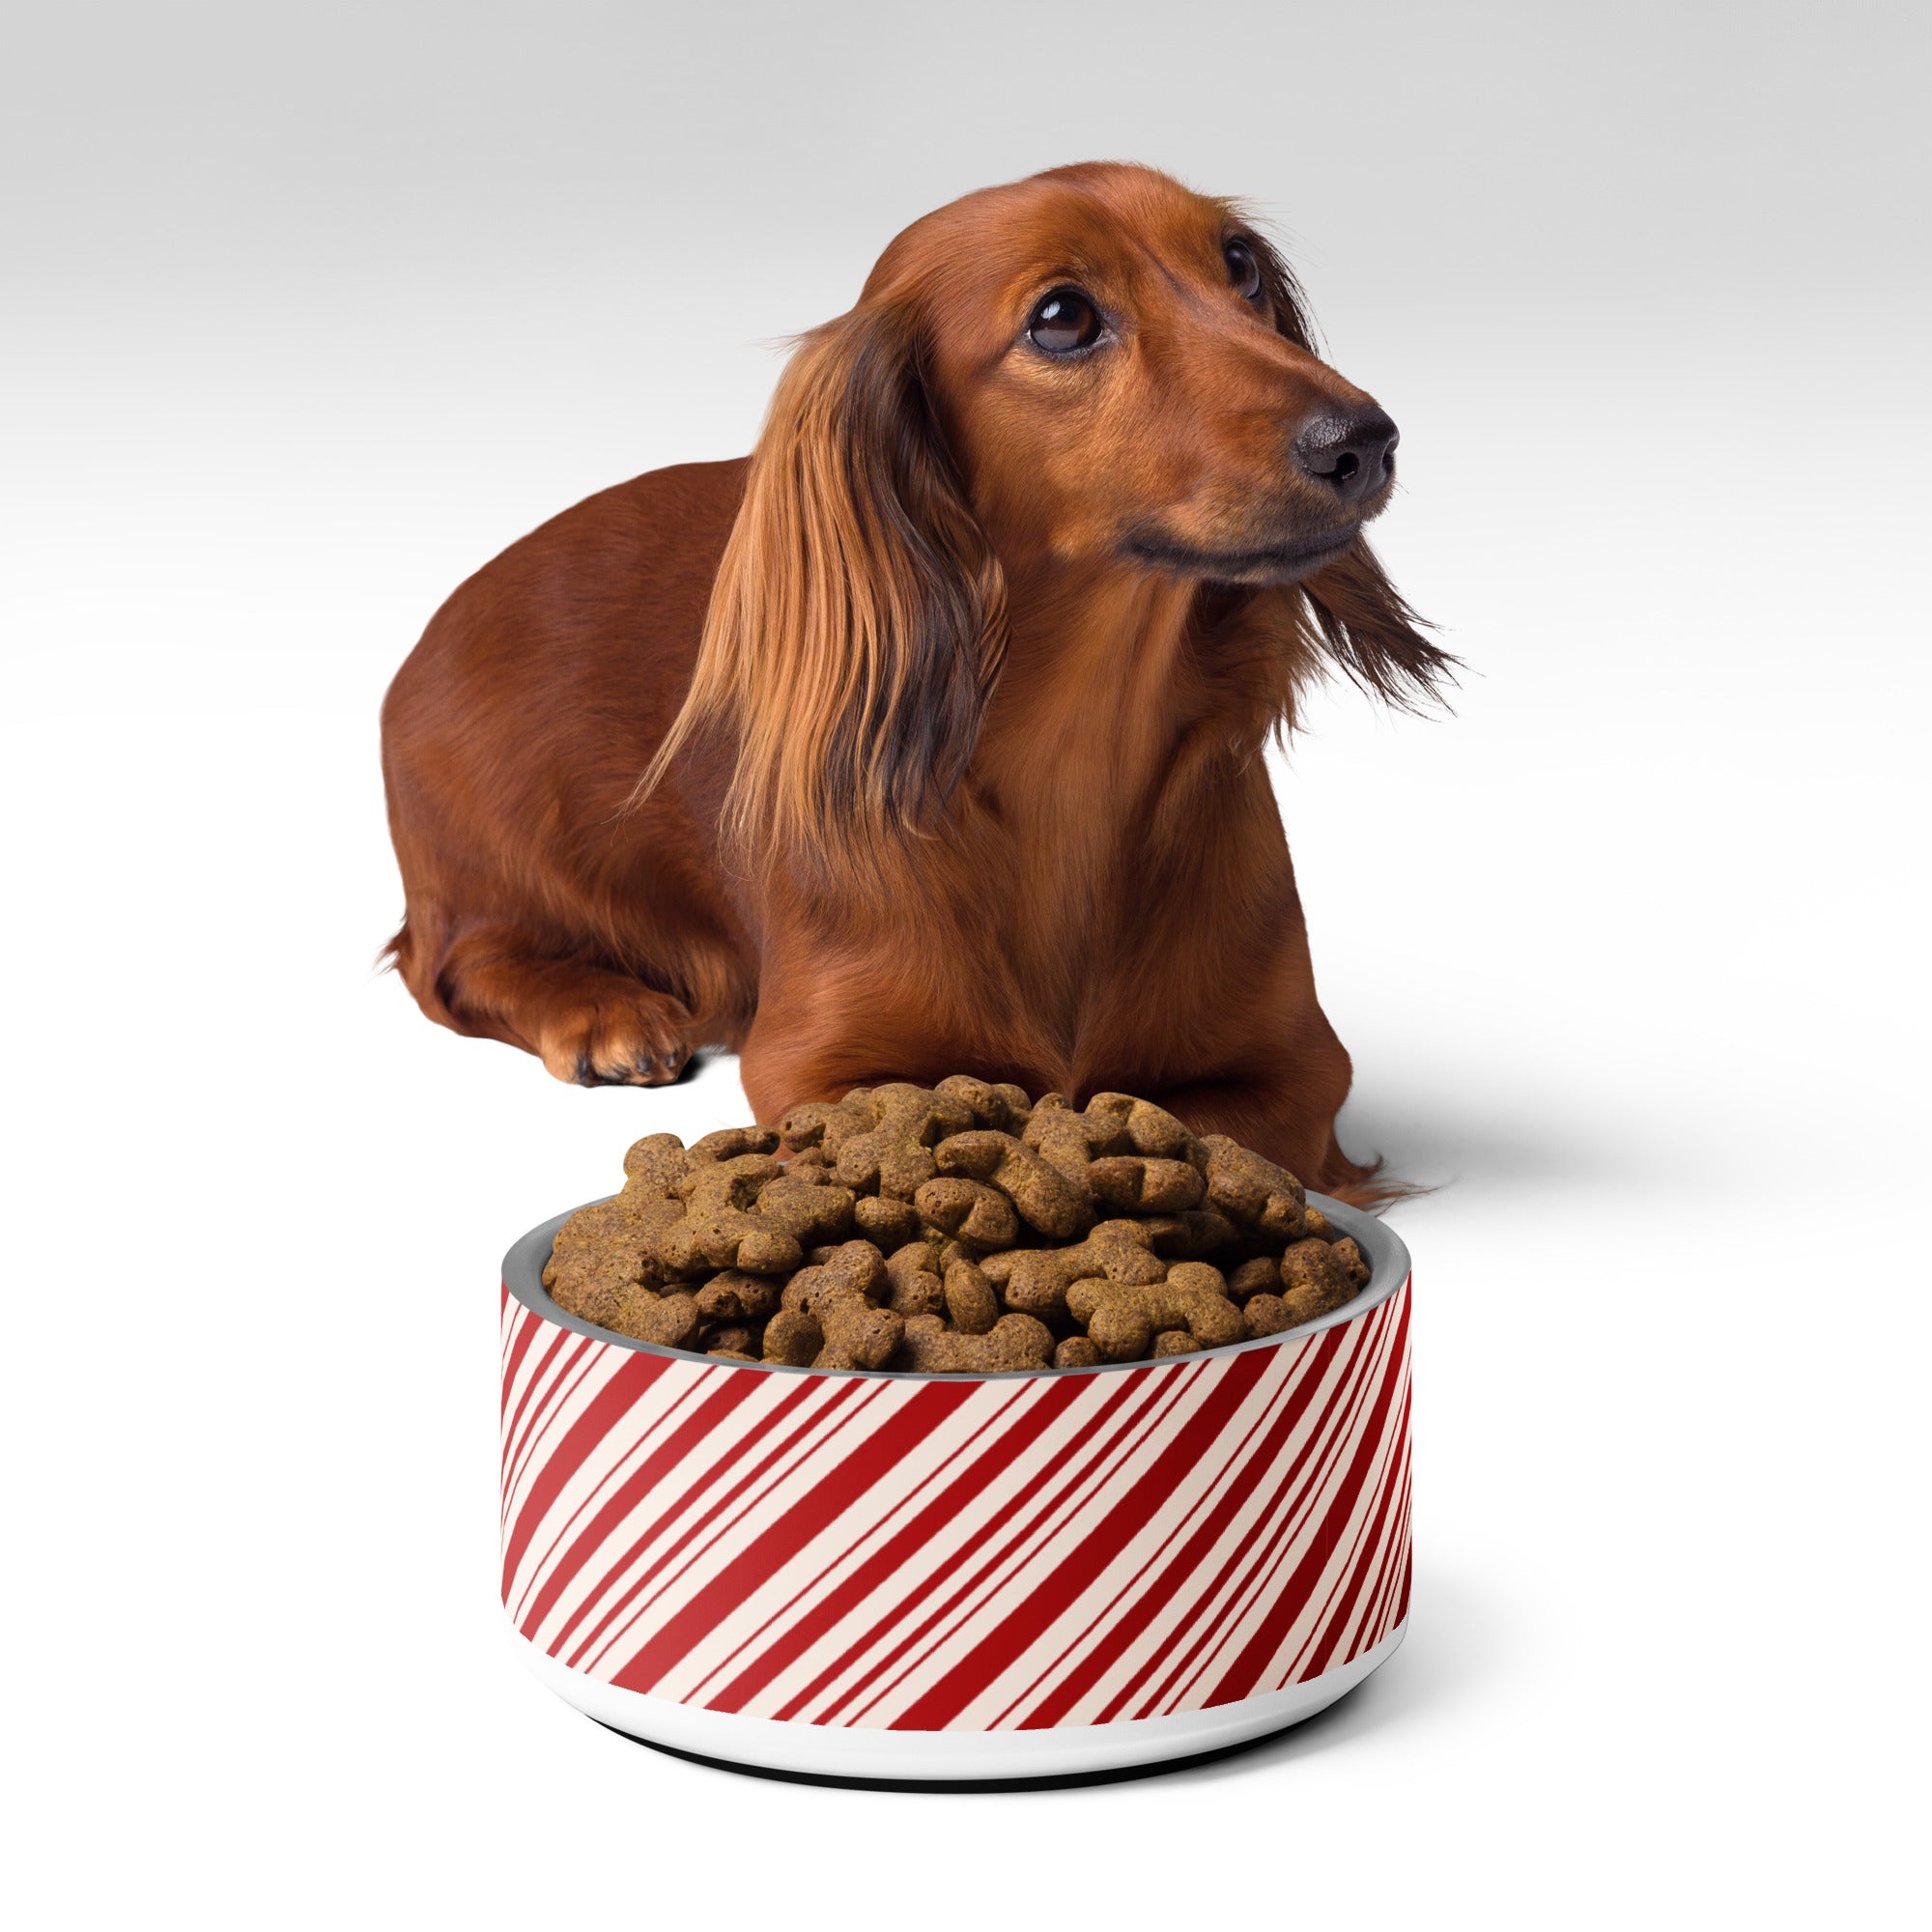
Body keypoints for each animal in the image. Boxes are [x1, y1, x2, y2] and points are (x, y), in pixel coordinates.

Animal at [377, 162, 1445, 1190]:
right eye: (1062, 318)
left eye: (1239, 264)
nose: (1363, 440)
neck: (1073, 760)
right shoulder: (817, 1065)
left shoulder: (1299, 1068)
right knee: (453, 964)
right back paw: (604, 1010)